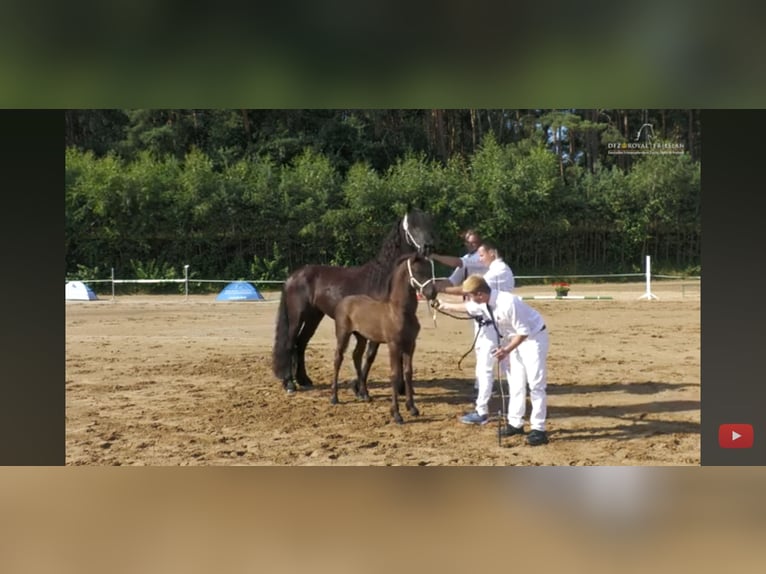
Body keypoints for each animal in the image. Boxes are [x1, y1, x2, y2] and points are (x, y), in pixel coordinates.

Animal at [272, 209, 436, 394]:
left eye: (429, 222)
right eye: (413, 225)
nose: (428, 247)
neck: (382, 279)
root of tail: (293, 276)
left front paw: (400, 389)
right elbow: (370, 356)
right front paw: (359, 387)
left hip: (314, 316)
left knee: (301, 343)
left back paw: (304, 380)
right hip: (297, 317)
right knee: (290, 343)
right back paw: (289, 383)